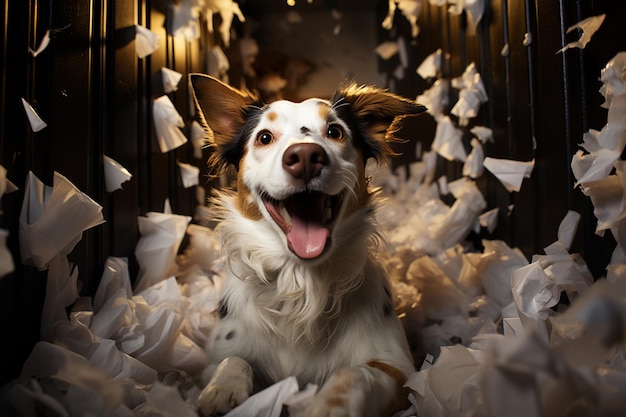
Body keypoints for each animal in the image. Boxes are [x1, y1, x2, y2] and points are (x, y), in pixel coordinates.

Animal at [190, 73, 424, 414]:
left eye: (335, 131)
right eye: (264, 137)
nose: (304, 157)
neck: (301, 283)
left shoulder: (400, 372)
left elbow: (353, 373)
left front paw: (328, 406)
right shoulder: (214, 359)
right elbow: (234, 360)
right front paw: (223, 389)